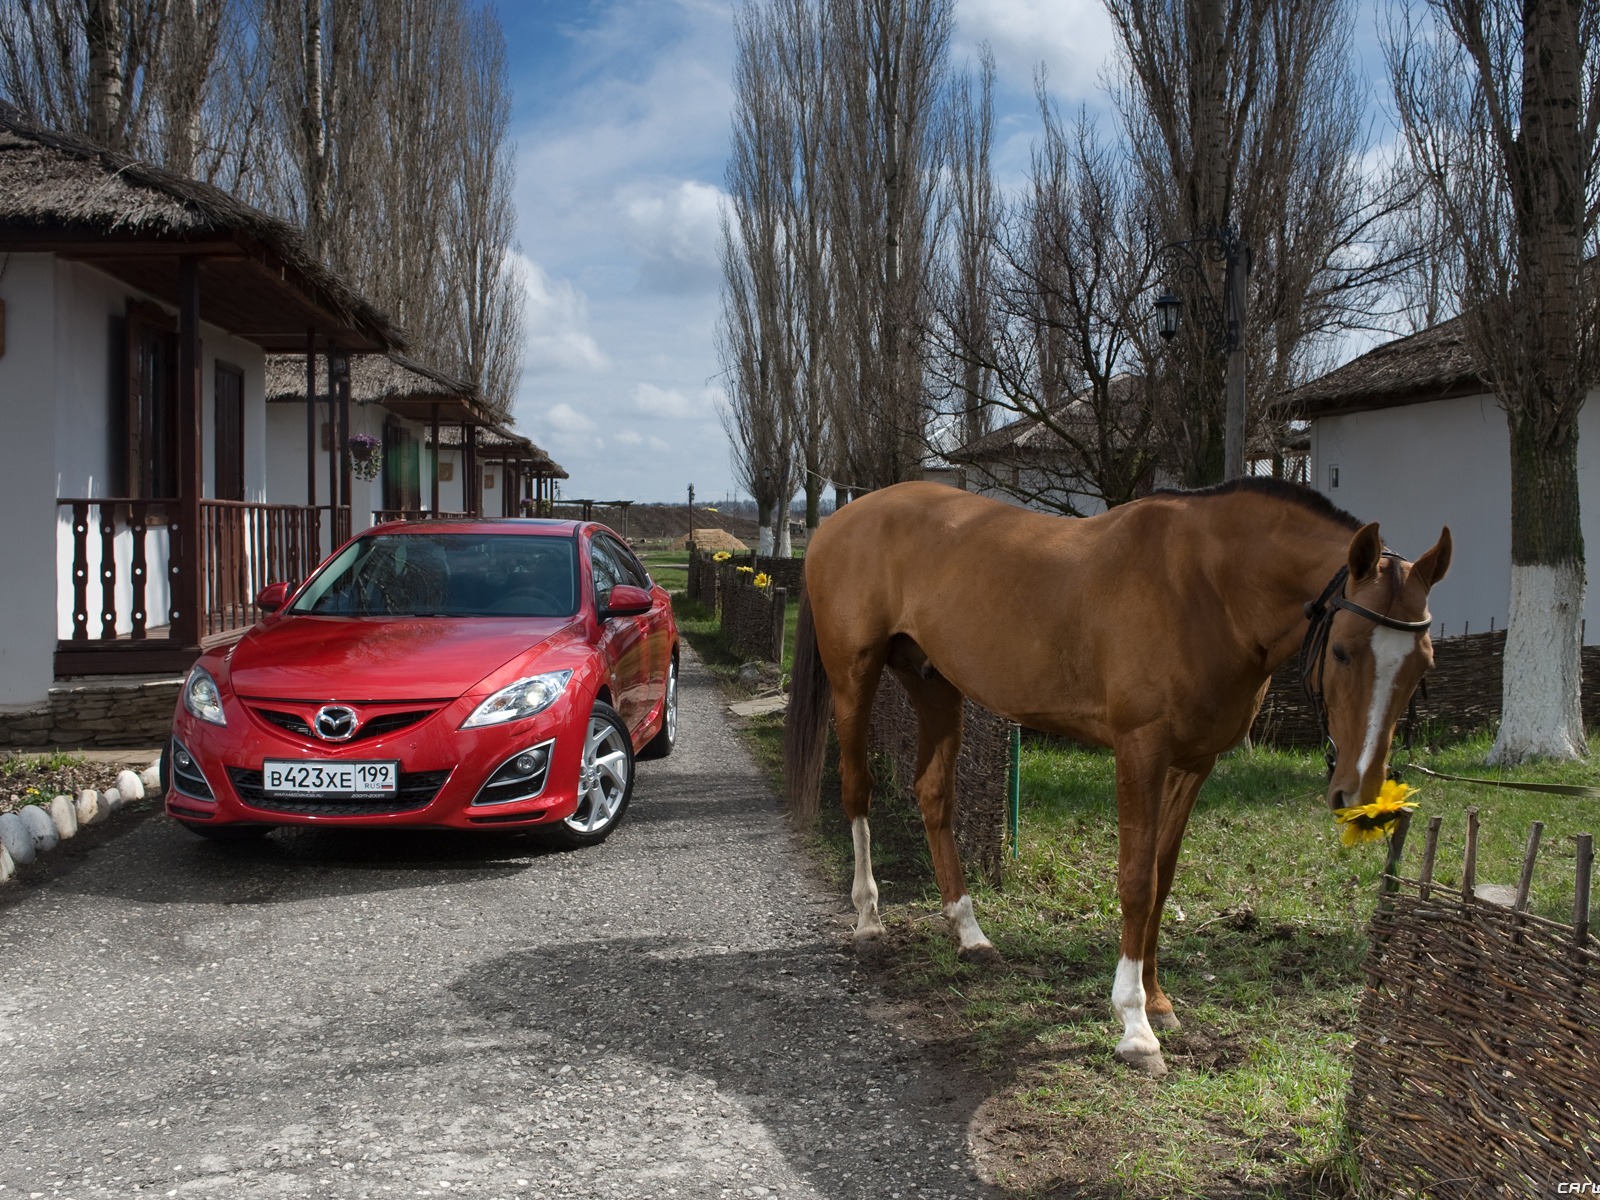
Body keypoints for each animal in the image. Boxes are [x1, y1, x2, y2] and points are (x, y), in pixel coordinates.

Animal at [787, 480, 1452, 1081]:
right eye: (1342, 650)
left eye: (1423, 664)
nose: (1360, 798)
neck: (1208, 587)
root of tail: (836, 521)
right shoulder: (1140, 750)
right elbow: (1135, 881)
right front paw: (1136, 1025)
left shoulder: (1193, 763)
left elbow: (1162, 878)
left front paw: (1158, 1000)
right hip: (854, 678)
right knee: (856, 790)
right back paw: (869, 918)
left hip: (935, 684)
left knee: (934, 797)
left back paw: (970, 934)